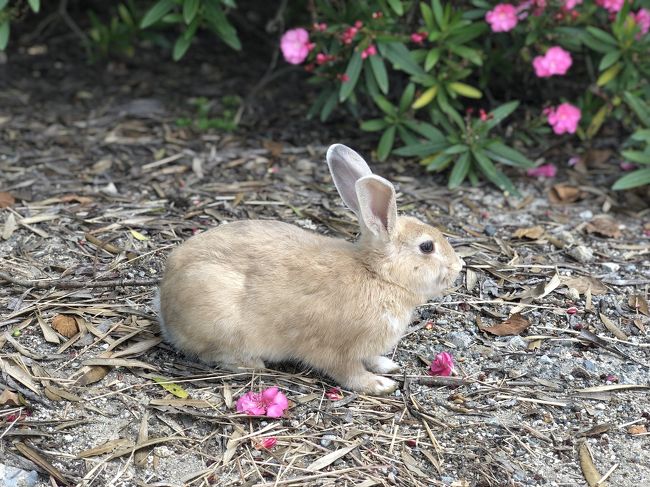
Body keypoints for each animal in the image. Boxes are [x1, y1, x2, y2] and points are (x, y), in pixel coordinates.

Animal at [156, 143, 460, 394]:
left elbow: (372, 358)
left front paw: (387, 366)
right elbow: (350, 373)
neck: (378, 274)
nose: (459, 266)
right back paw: (252, 363)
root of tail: (165, 307)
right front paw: (379, 384)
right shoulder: (337, 351)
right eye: (427, 247)